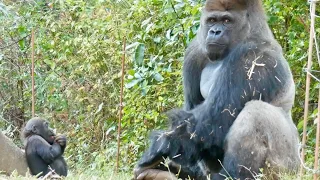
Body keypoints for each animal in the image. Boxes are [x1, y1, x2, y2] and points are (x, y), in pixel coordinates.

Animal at [134, 0, 300, 179]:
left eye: (227, 21)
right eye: (212, 20)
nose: (215, 31)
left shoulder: (252, 56)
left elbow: (213, 119)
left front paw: (159, 146)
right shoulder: (195, 51)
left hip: (288, 169)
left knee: (256, 111)